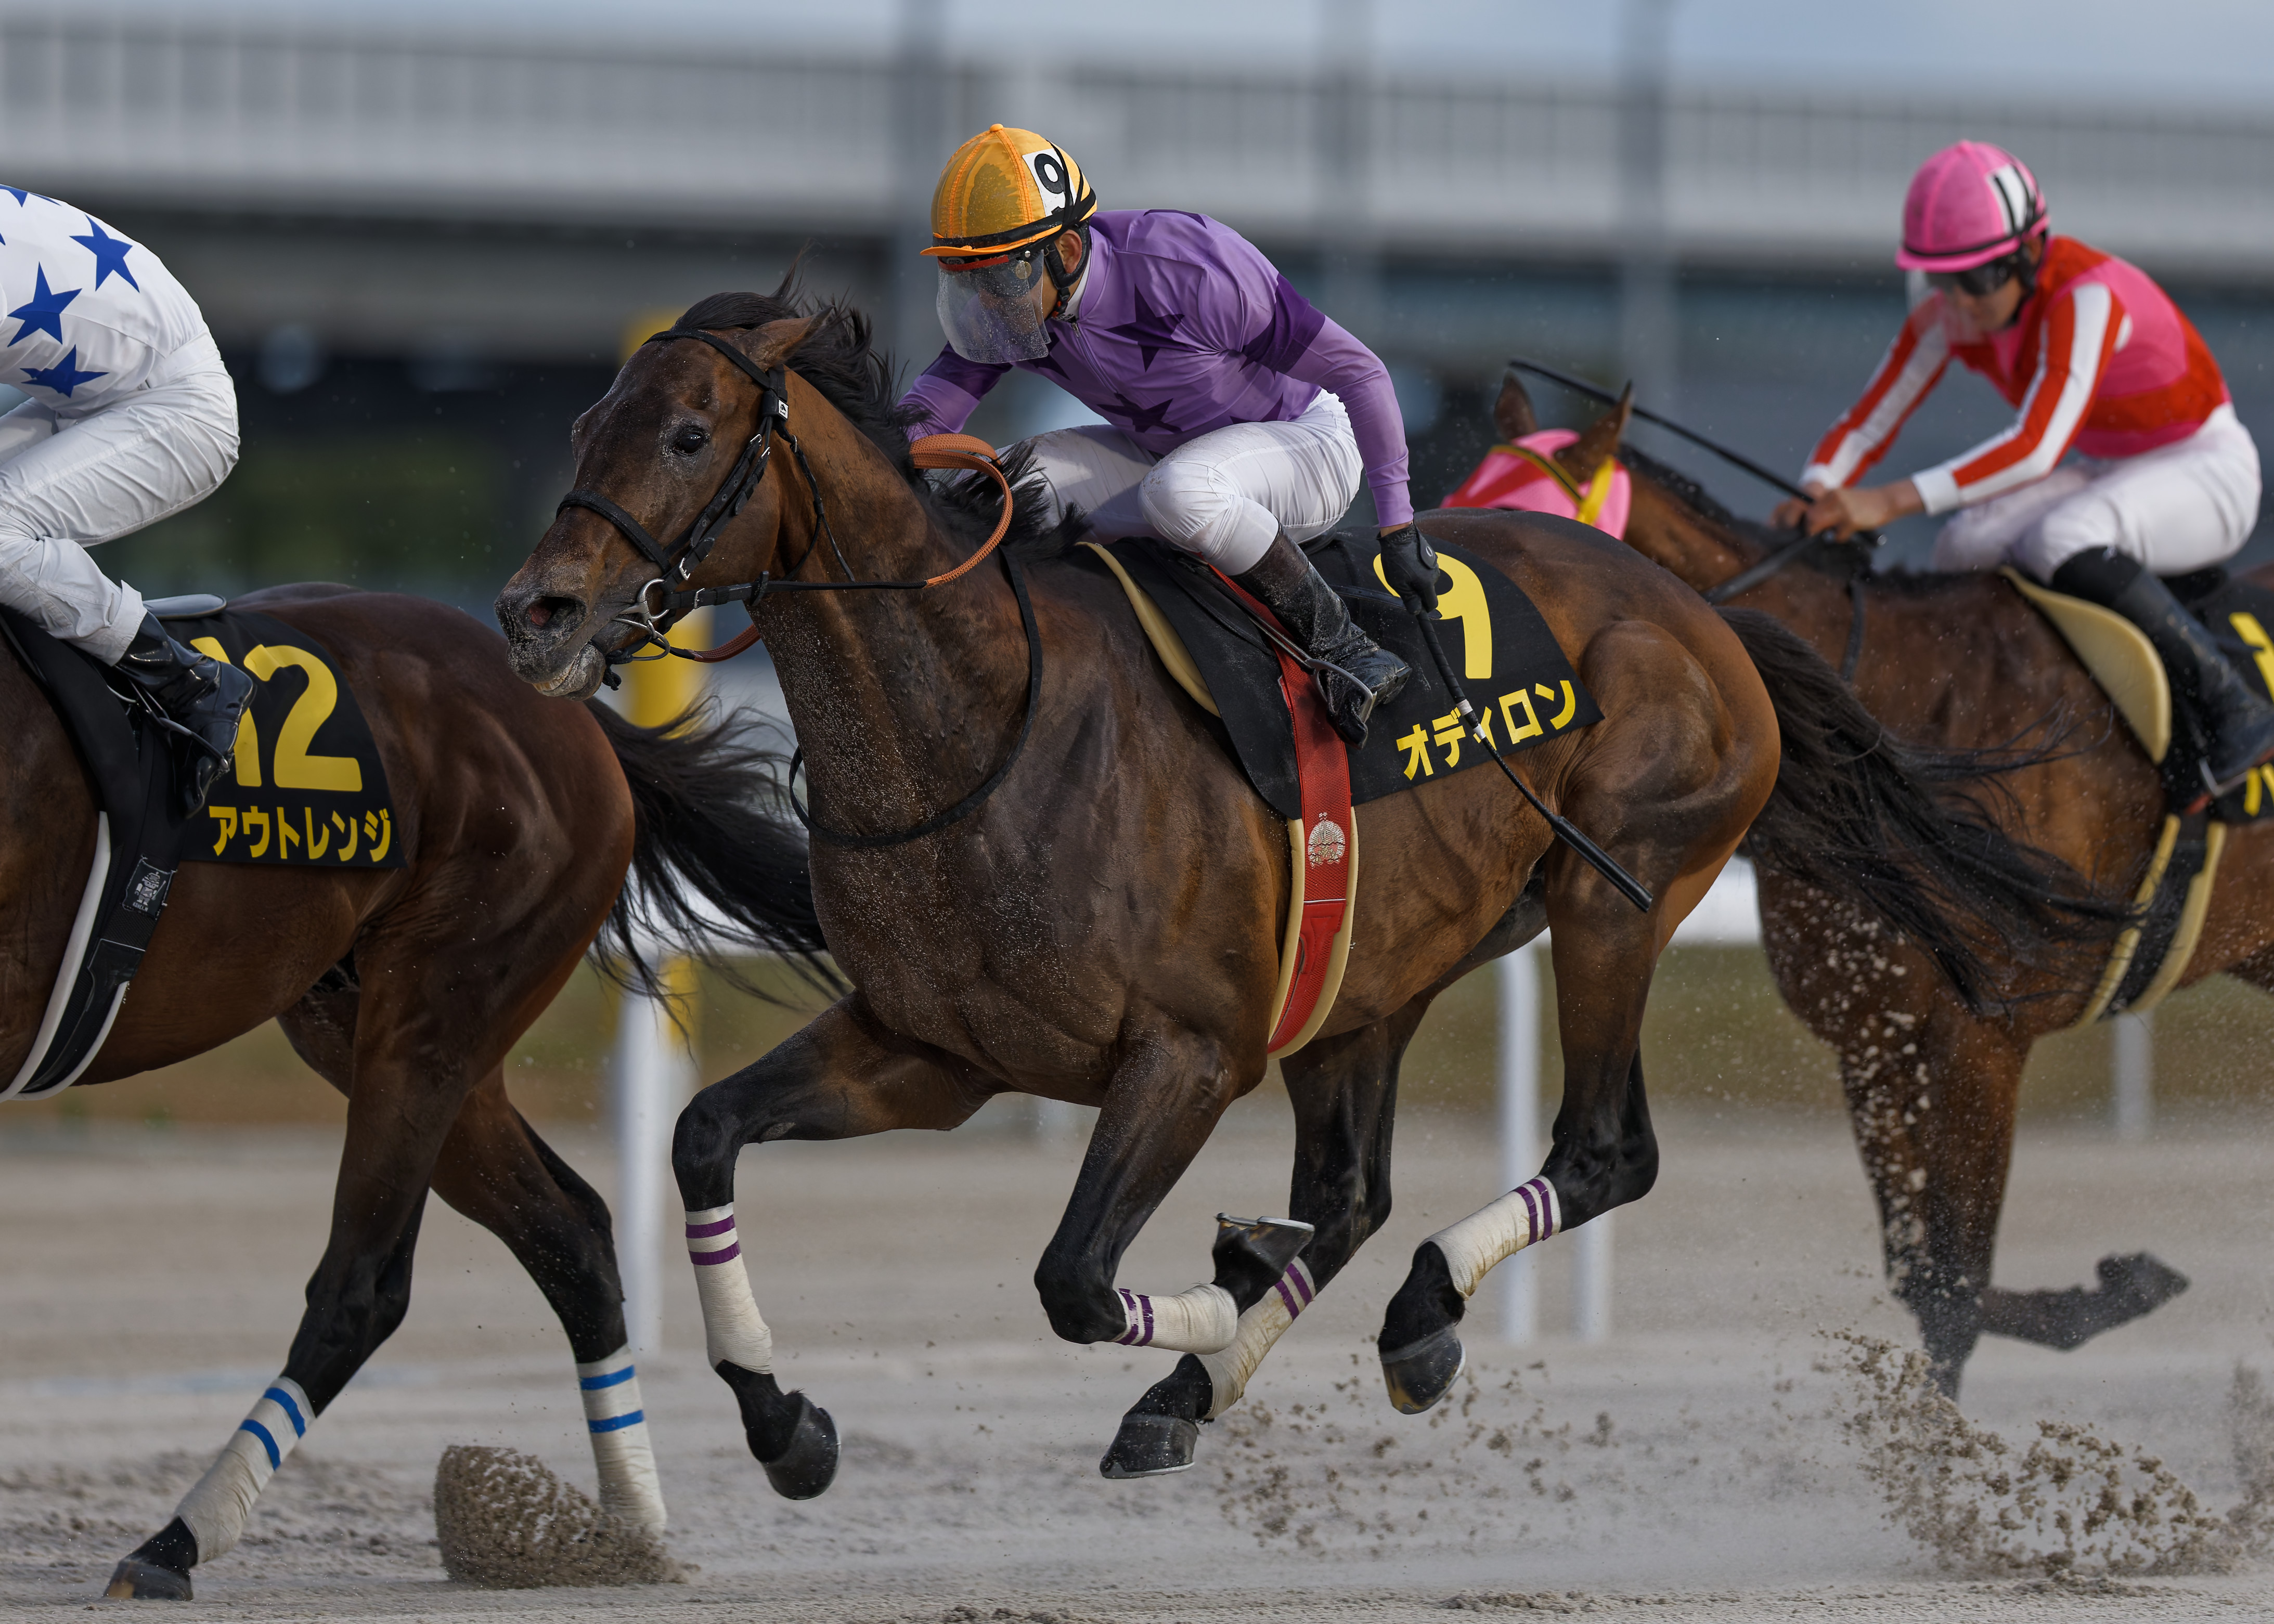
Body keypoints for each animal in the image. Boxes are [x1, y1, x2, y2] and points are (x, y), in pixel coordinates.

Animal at [5, 586, 832, 1598]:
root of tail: (560, 704)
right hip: (379, 1025)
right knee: (568, 1233)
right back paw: (637, 1522)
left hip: (435, 1012)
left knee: (364, 1286)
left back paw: (178, 1539)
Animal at [493, 284, 2117, 1492]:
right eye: (582, 419)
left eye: (688, 432)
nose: (536, 611)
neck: (983, 718)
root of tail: (1696, 610)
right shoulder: (933, 1048)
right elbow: (704, 1136)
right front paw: (785, 1420)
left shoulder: (1187, 1054)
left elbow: (1073, 1277)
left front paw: (1219, 1280)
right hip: (1369, 973)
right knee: (1352, 1187)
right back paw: (1243, 1371)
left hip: (1616, 896)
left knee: (1600, 1150)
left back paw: (1403, 1314)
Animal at [1477, 371, 2216, 1394]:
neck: (1903, 690)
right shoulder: (1875, 1035)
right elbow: (1925, 1273)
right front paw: (2121, 1285)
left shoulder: (1982, 1036)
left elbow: (1955, 1281)